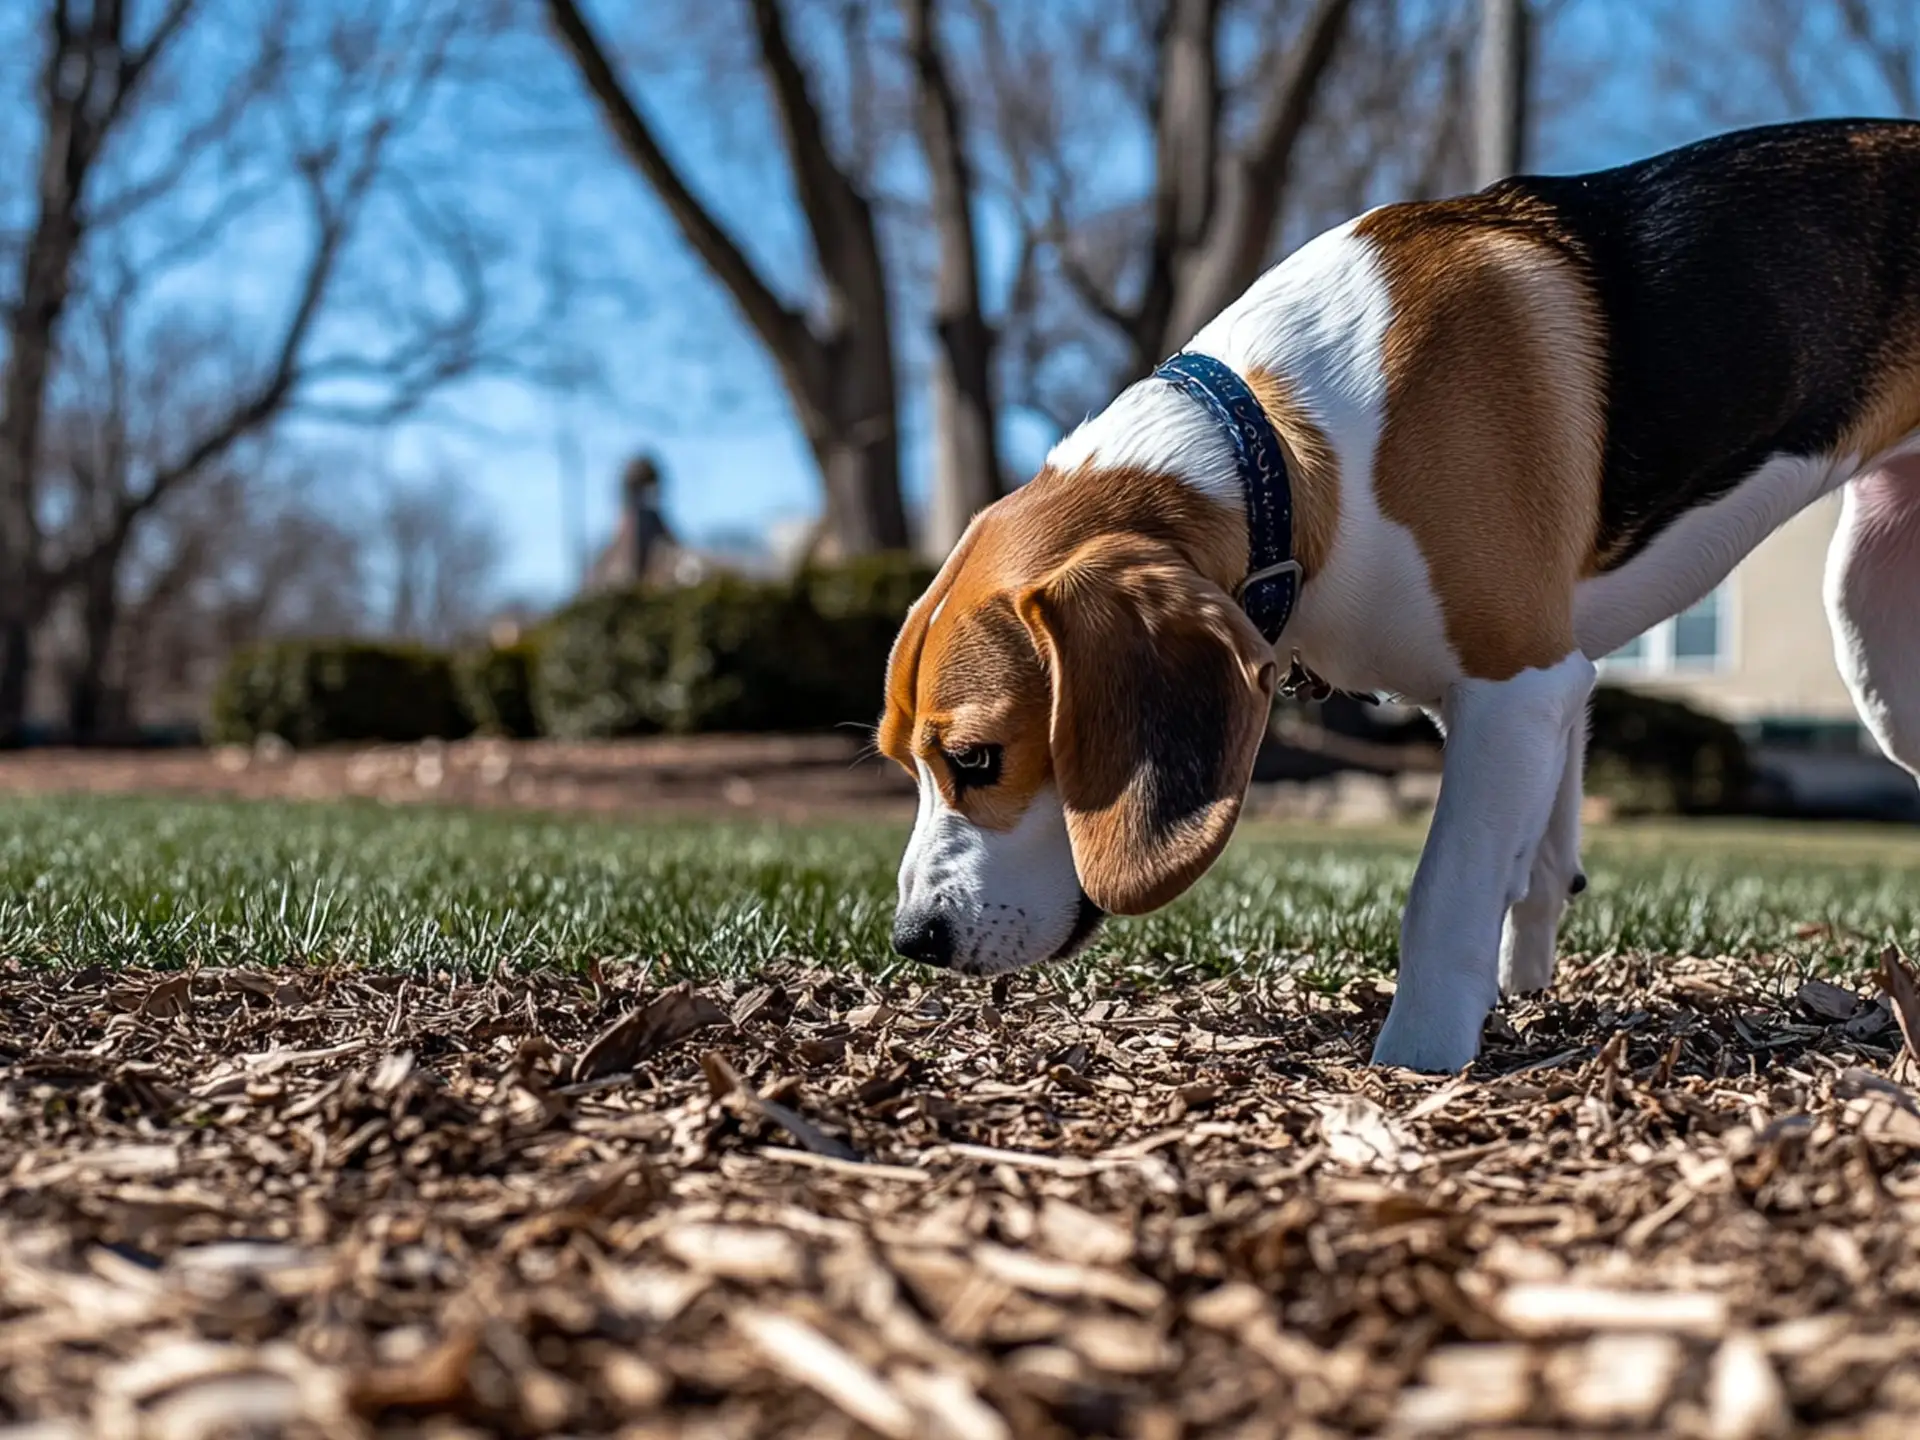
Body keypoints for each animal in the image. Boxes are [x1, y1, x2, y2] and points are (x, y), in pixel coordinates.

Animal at [879, 121, 1920, 1075]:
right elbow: (1536, 863)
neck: (1280, 452)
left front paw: (1416, 1062)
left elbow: (1447, 891)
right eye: (902, 762)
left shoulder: (1517, 685)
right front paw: (1523, 985)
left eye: (977, 758)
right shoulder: (1541, 695)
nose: (912, 940)